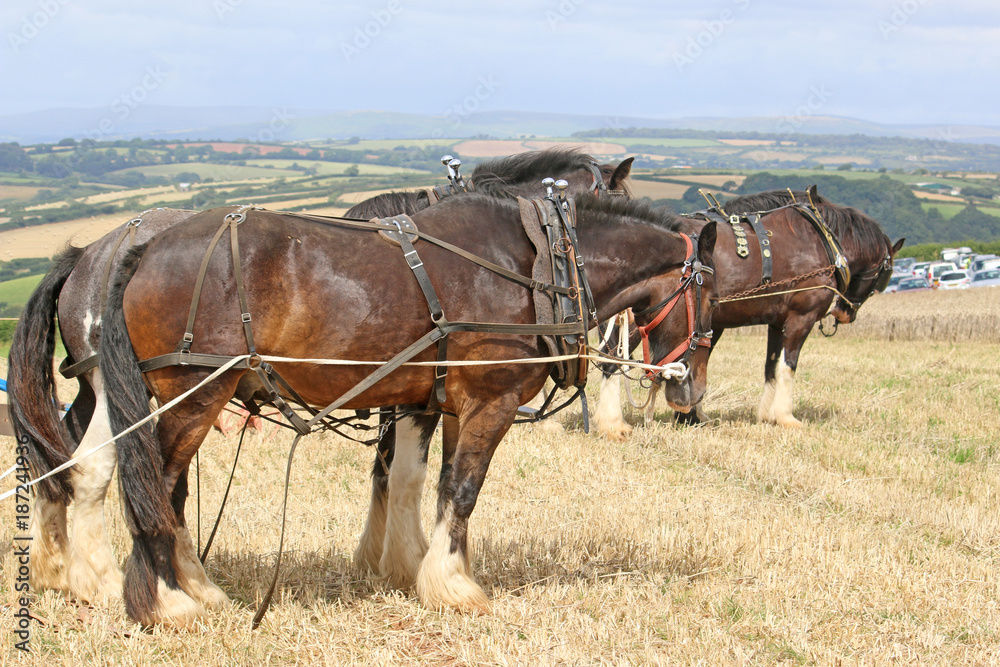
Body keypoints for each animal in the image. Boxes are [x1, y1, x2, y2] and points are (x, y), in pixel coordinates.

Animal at [7, 149, 628, 608]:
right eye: (617, 196)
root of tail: (94, 255)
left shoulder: (412, 392)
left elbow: (392, 473)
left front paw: (387, 560)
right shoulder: (426, 394)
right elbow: (406, 474)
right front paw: (403, 561)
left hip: (110, 391)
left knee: (69, 463)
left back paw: (69, 571)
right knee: (111, 471)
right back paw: (116, 583)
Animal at [592, 188, 908, 438]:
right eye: (886, 272)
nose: (845, 314)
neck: (820, 239)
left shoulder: (776, 323)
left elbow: (771, 366)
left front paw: (766, 414)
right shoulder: (800, 318)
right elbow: (788, 366)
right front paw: (785, 416)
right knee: (610, 356)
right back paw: (612, 420)